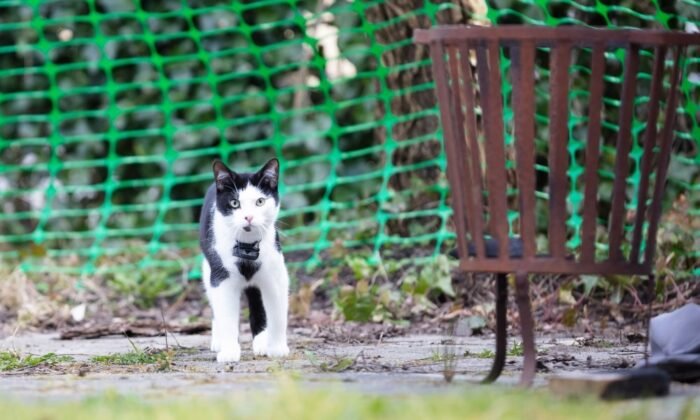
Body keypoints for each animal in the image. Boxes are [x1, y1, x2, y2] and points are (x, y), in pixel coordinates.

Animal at [200, 159, 290, 362]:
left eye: (260, 201)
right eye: (234, 202)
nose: (248, 217)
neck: (247, 246)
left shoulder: (276, 275)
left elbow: (278, 313)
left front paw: (278, 348)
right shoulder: (221, 275)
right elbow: (226, 314)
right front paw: (229, 352)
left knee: (258, 303)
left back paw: (262, 342)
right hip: (208, 268)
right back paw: (218, 341)